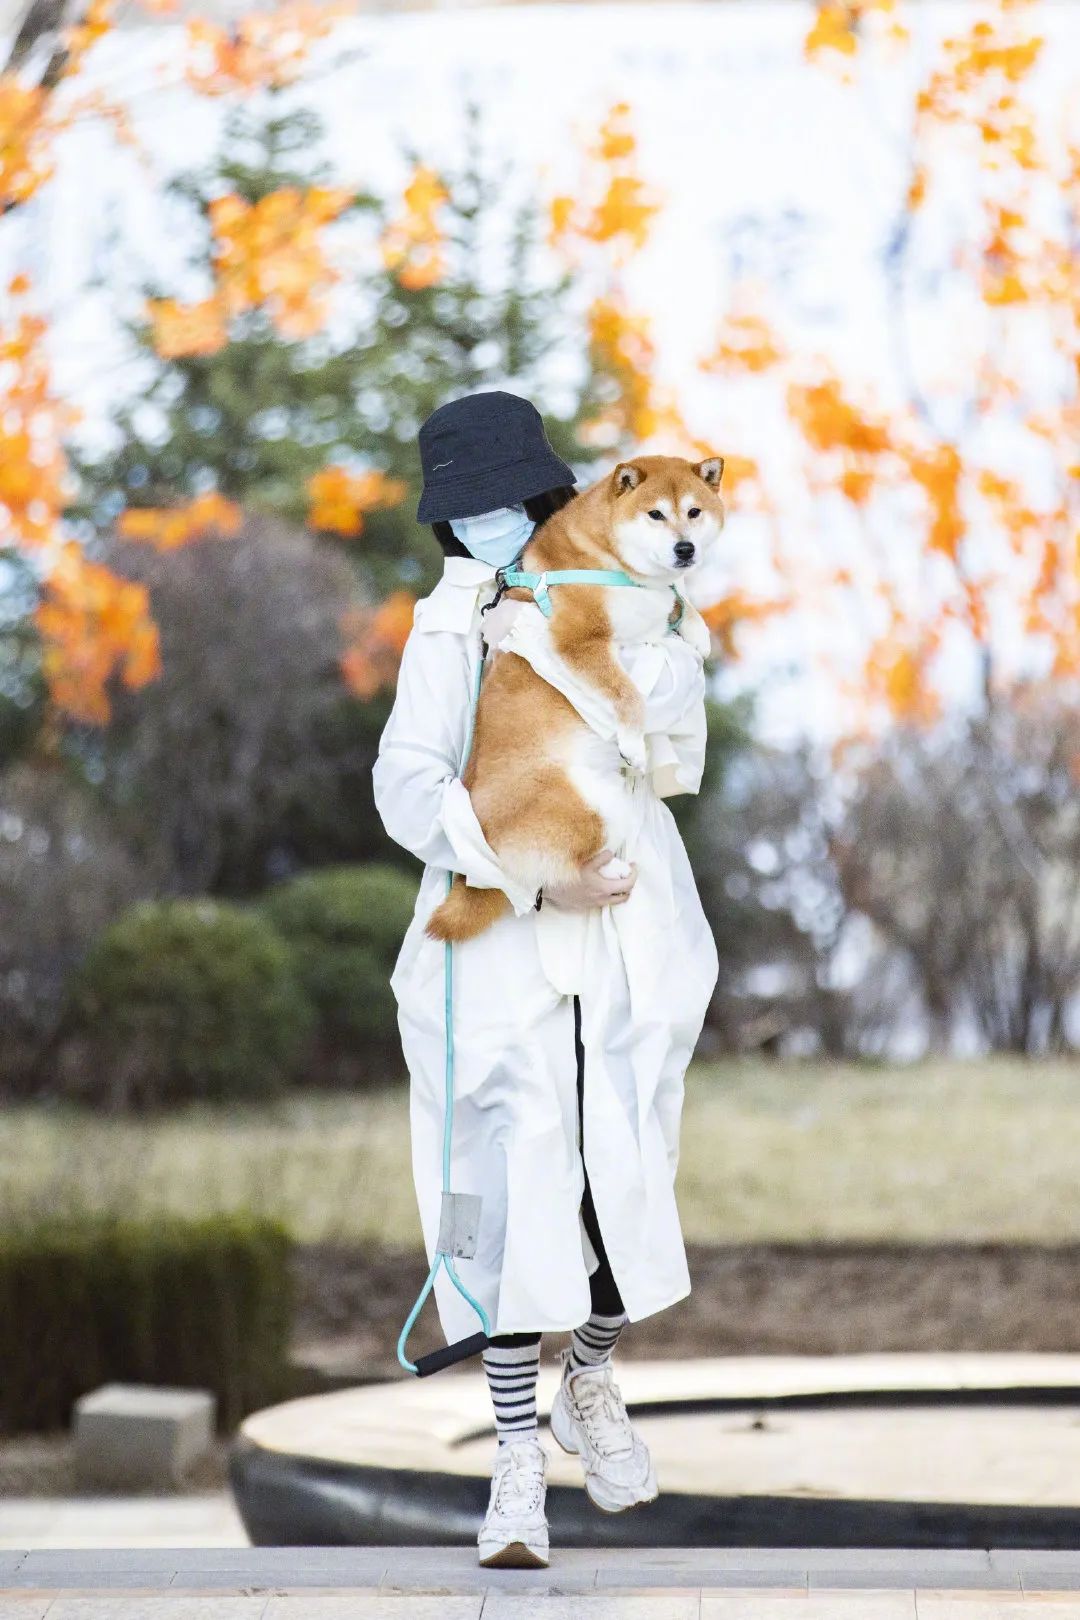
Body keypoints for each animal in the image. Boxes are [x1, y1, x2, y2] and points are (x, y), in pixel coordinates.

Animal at [427, 450, 722, 946]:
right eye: (656, 514)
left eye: (694, 512)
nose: (685, 549)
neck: (610, 561)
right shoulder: (578, 641)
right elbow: (627, 694)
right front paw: (632, 741)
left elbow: (676, 601)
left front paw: (697, 630)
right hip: (593, 807)